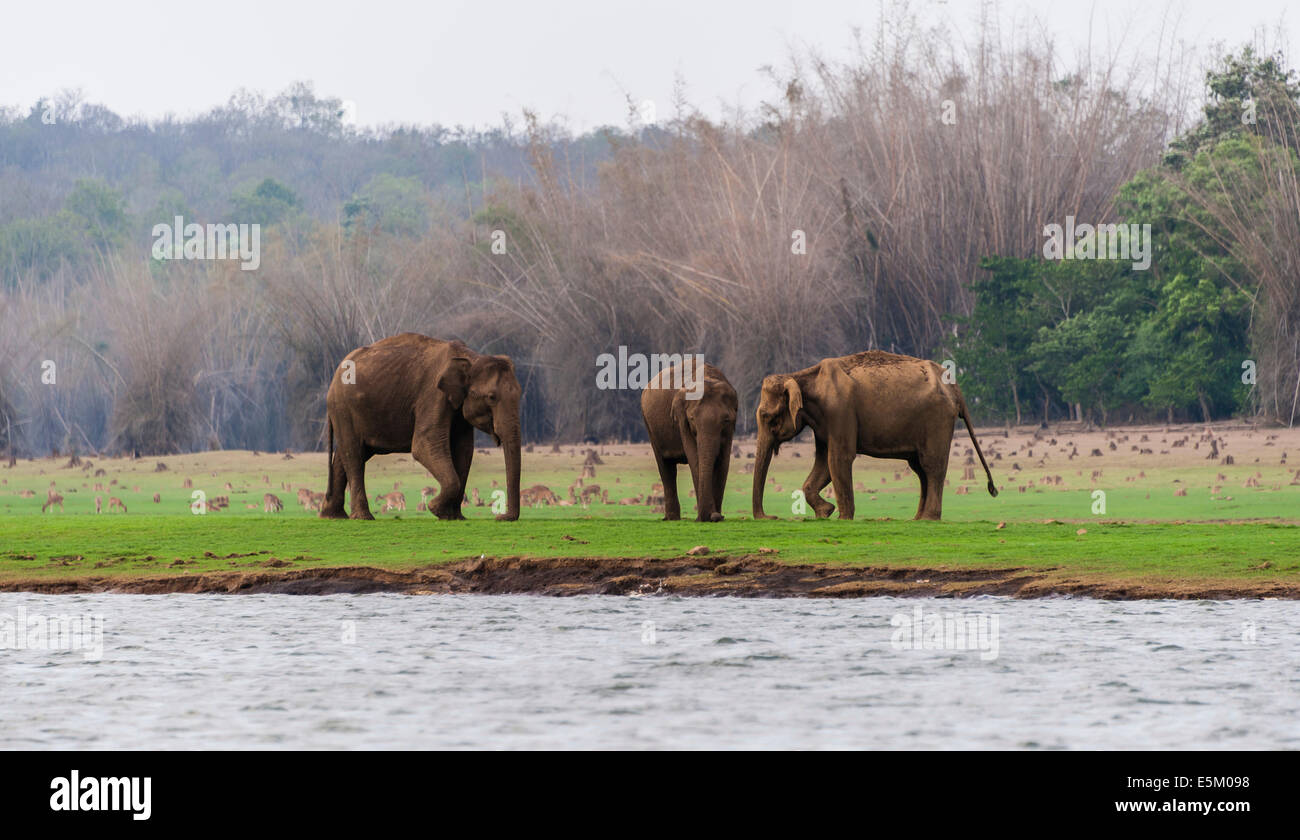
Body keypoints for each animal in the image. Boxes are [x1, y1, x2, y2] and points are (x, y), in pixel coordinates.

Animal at [317, 332, 520, 520]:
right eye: (491, 397)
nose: (500, 517)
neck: (470, 356)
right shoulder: (432, 395)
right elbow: (424, 445)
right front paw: (436, 508)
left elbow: (464, 450)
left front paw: (454, 517)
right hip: (343, 408)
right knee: (354, 454)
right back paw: (363, 517)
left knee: (346, 455)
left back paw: (333, 516)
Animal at [642, 361, 743, 522]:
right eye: (692, 419)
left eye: (726, 420)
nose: (717, 516)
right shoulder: (681, 420)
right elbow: (694, 458)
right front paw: (706, 517)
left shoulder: (730, 429)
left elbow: (723, 461)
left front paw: (714, 516)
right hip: (650, 426)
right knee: (665, 467)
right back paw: (672, 518)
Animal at [754, 348, 993, 520]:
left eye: (769, 418)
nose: (771, 517)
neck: (802, 377)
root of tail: (954, 386)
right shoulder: (824, 423)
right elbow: (824, 463)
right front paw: (825, 512)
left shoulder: (840, 411)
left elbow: (839, 458)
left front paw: (843, 518)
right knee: (920, 469)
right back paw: (917, 519)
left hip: (937, 421)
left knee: (932, 466)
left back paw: (929, 518)